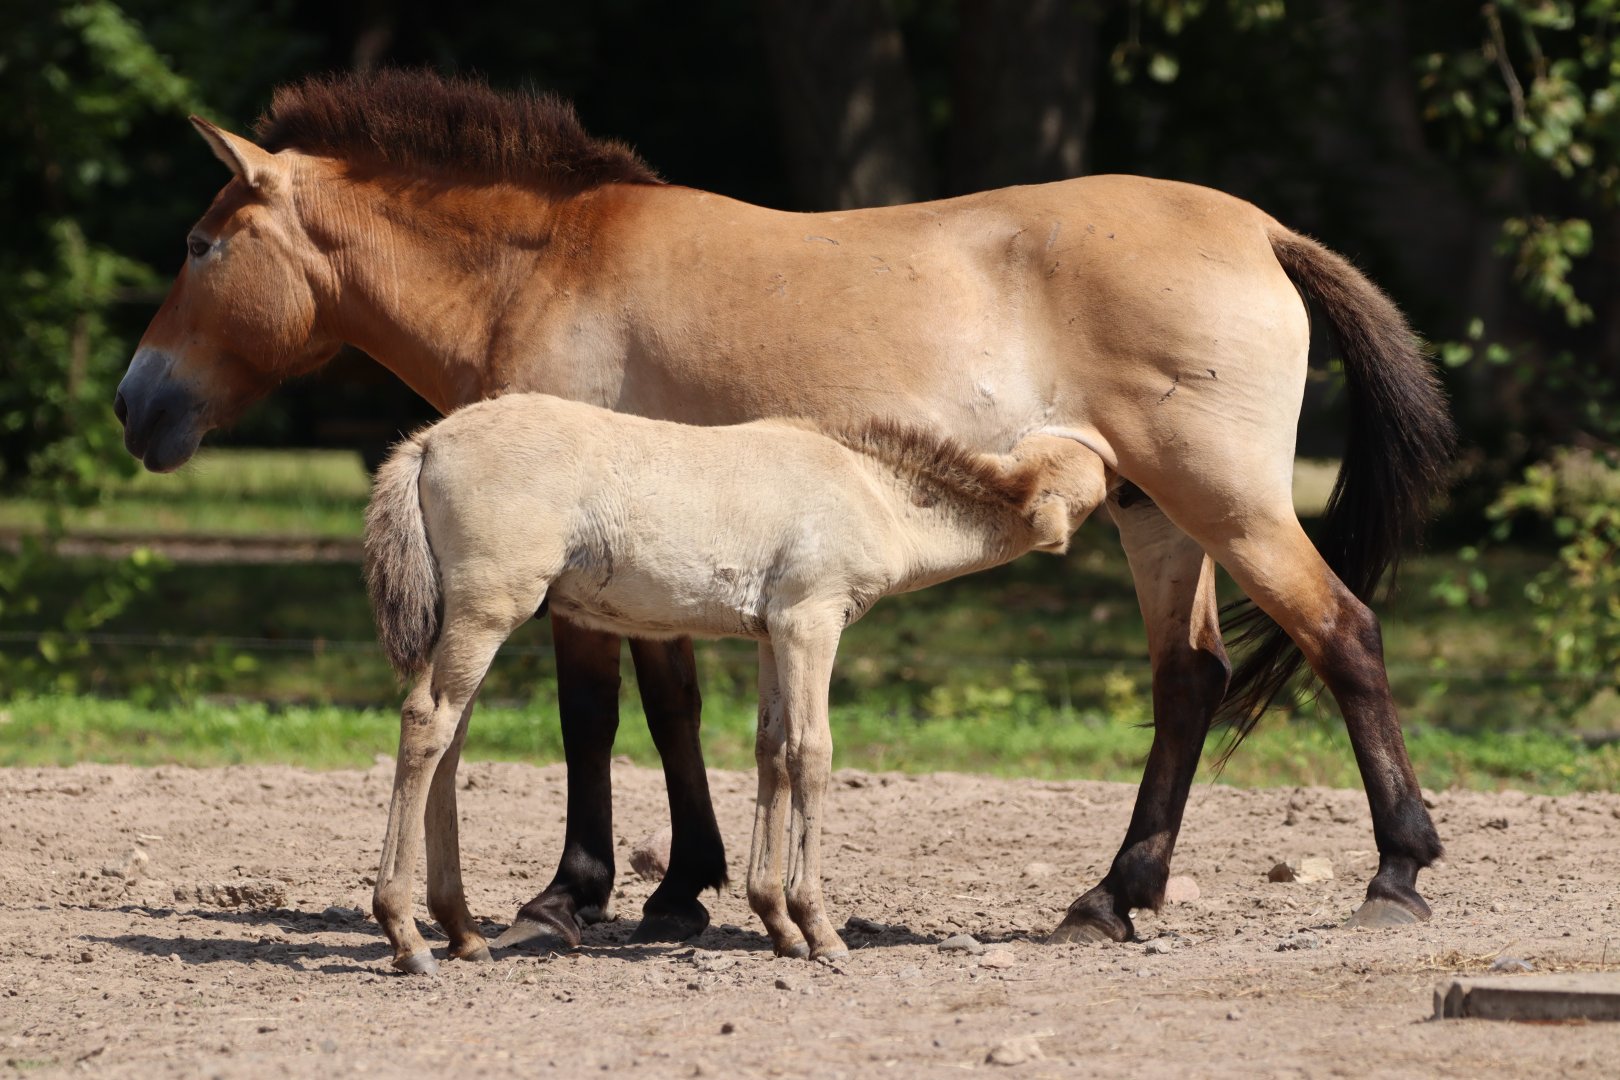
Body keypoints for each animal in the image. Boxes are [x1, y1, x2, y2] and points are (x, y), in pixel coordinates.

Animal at [362, 393, 1105, 971]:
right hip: (490, 610)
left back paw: (463, 934)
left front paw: (778, 925)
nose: (1135, 493)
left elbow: (771, 752)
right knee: (428, 722)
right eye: (1101, 486)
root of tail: (427, 442)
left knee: (449, 743)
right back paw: (408, 939)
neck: (869, 491)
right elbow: (812, 754)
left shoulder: (774, 635)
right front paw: (820, 931)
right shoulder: (812, 621)